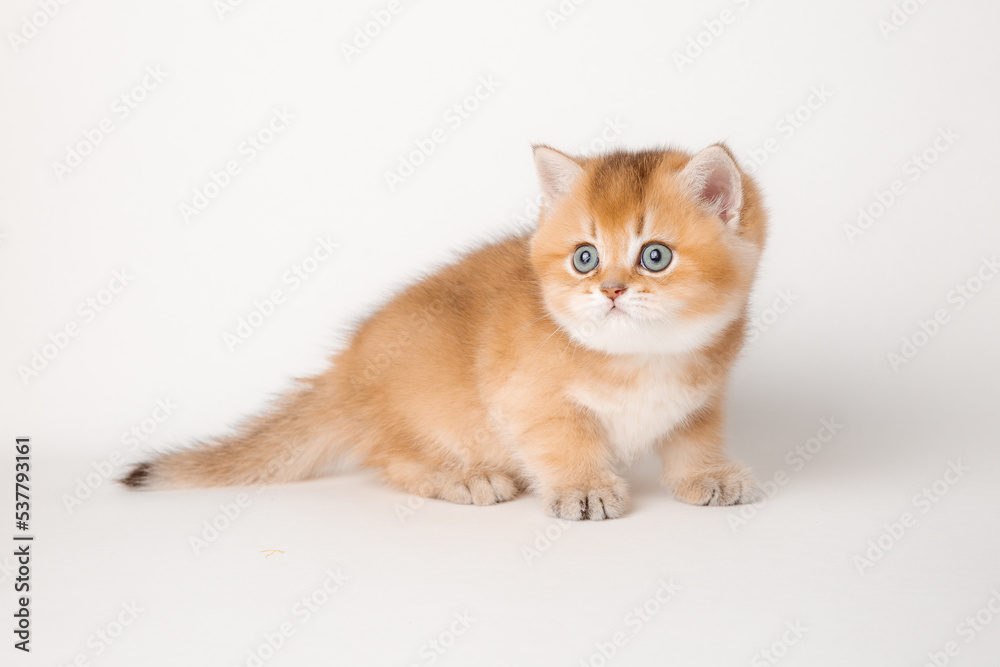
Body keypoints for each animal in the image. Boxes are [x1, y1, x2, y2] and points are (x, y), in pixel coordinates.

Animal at [123, 144, 764, 520]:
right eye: (585, 258)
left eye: (655, 256)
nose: (610, 290)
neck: (645, 357)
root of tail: (342, 375)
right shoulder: (529, 402)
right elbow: (565, 442)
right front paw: (583, 488)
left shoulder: (703, 398)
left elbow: (694, 438)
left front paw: (707, 476)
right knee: (394, 459)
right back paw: (465, 477)